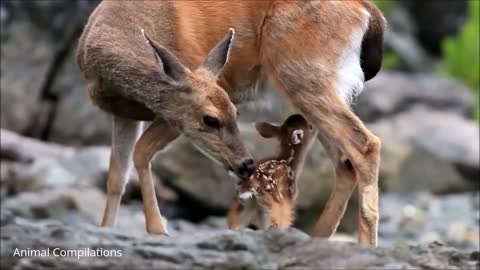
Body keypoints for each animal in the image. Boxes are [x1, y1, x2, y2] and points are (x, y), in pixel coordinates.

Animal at [78, 0, 386, 246]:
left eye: (236, 113)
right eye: (211, 119)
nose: (247, 165)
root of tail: (370, 12)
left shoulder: (176, 111)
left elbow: (141, 151)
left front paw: (157, 230)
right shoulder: (125, 114)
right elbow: (116, 177)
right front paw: (106, 231)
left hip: (306, 75)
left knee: (365, 145)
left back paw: (366, 245)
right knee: (345, 163)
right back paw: (318, 238)